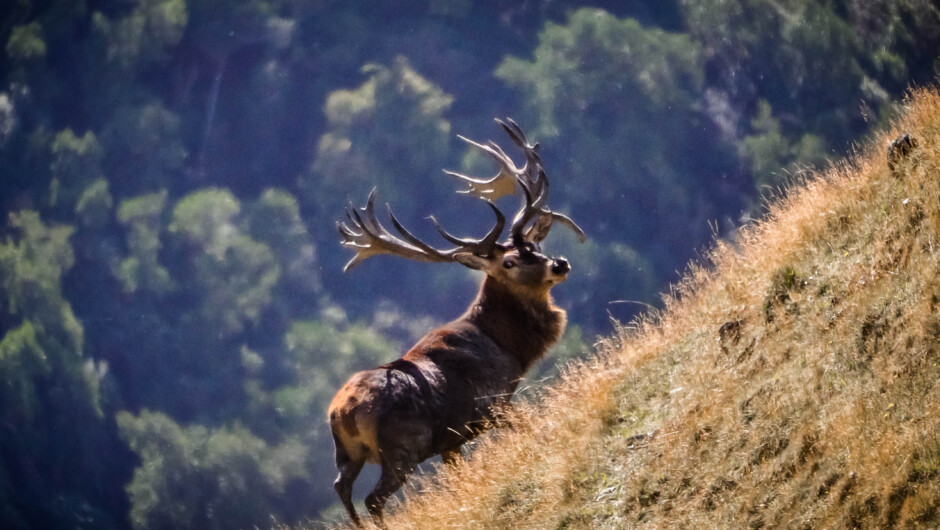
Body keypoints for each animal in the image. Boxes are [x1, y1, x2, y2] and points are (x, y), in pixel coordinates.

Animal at [327, 119, 585, 527]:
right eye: (509, 262)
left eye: (535, 246)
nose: (559, 264)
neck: (509, 349)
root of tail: (341, 413)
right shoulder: (492, 404)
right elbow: (531, 427)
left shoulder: (452, 440)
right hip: (404, 446)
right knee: (373, 498)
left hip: (347, 454)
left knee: (342, 489)